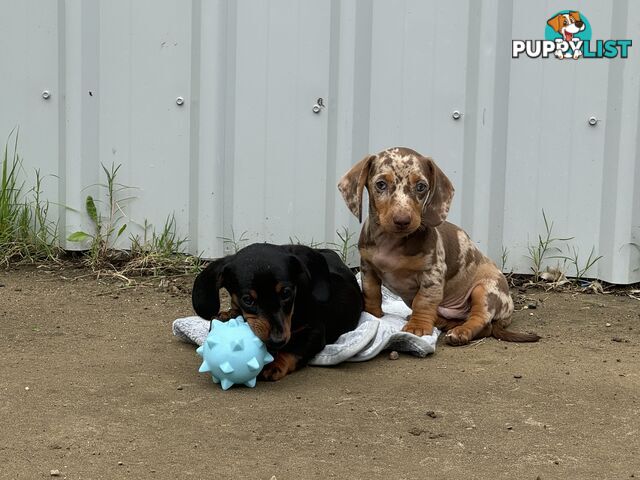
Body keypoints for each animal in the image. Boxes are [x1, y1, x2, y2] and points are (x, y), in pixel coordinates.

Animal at [190, 244, 362, 378]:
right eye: (248, 299)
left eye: (286, 293)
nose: (277, 340)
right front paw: (227, 315)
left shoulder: (315, 331)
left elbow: (294, 348)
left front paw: (275, 364)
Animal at [340, 146, 540, 344]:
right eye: (380, 184)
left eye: (421, 186)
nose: (402, 220)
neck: (391, 243)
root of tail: (508, 312)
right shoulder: (368, 268)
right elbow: (372, 293)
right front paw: (372, 316)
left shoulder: (432, 274)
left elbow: (423, 301)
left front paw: (417, 327)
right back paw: (442, 322)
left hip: (485, 291)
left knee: (482, 321)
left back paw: (460, 332)